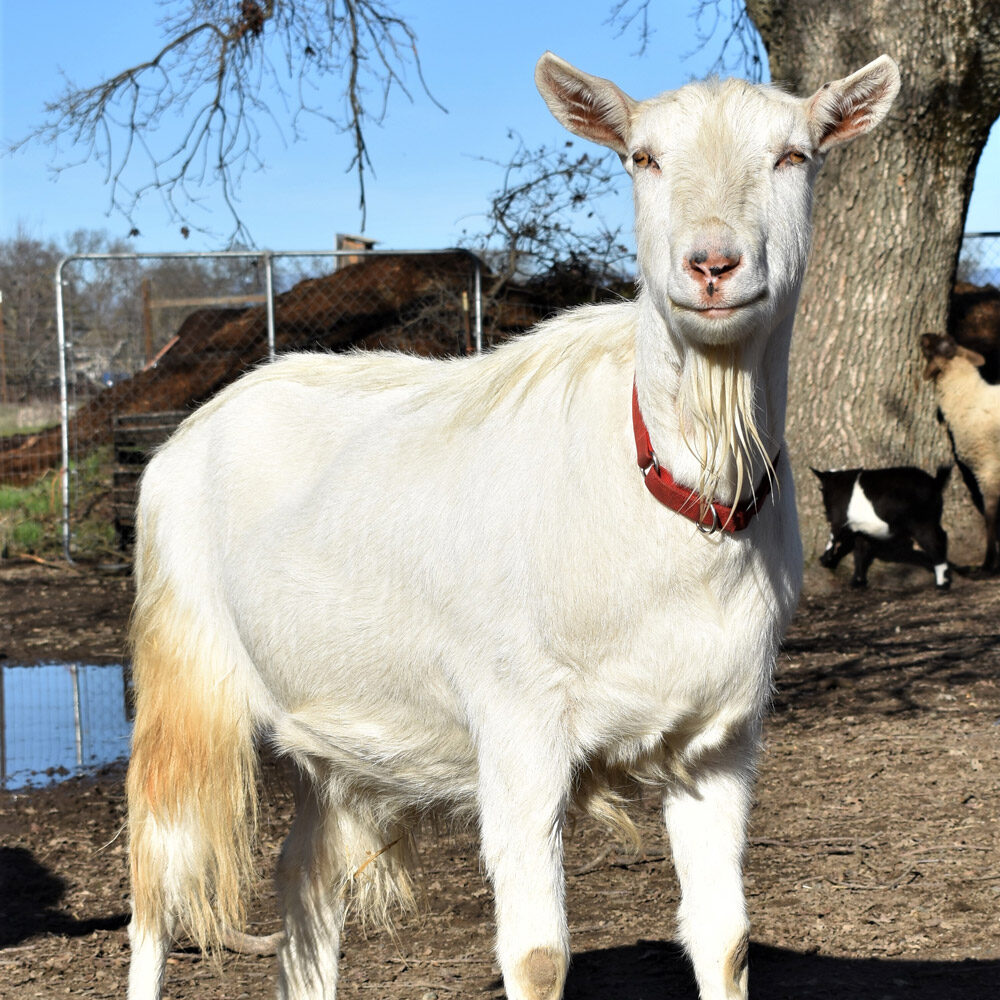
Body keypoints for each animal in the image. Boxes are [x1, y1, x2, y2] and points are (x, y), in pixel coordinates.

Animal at [125, 52, 899, 1000]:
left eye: (795, 155)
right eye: (642, 158)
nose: (712, 264)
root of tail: (184, 437)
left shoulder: (722, 733)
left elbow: (726, 938)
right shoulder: (518, 721)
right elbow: (536, 956)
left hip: (330, 731)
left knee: (302, 881)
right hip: (182, 674)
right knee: (156, 891)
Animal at [812, 465, 952, 589]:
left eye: (821, 488)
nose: (826, 512)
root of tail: (935, 482)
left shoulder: (838, 518)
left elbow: (832, 537)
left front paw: (824, 559)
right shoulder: (861, 531)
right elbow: (860, 552)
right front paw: (857, 582)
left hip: (922, 524)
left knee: (934, 543)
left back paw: (941, 583)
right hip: (931, 521)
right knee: (943, 536)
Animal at [921, 332, 1000, 571]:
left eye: (933, 347)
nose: (922, 336)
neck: (968, 398)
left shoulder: (988, 470)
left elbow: (990, 516)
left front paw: (988, 562)